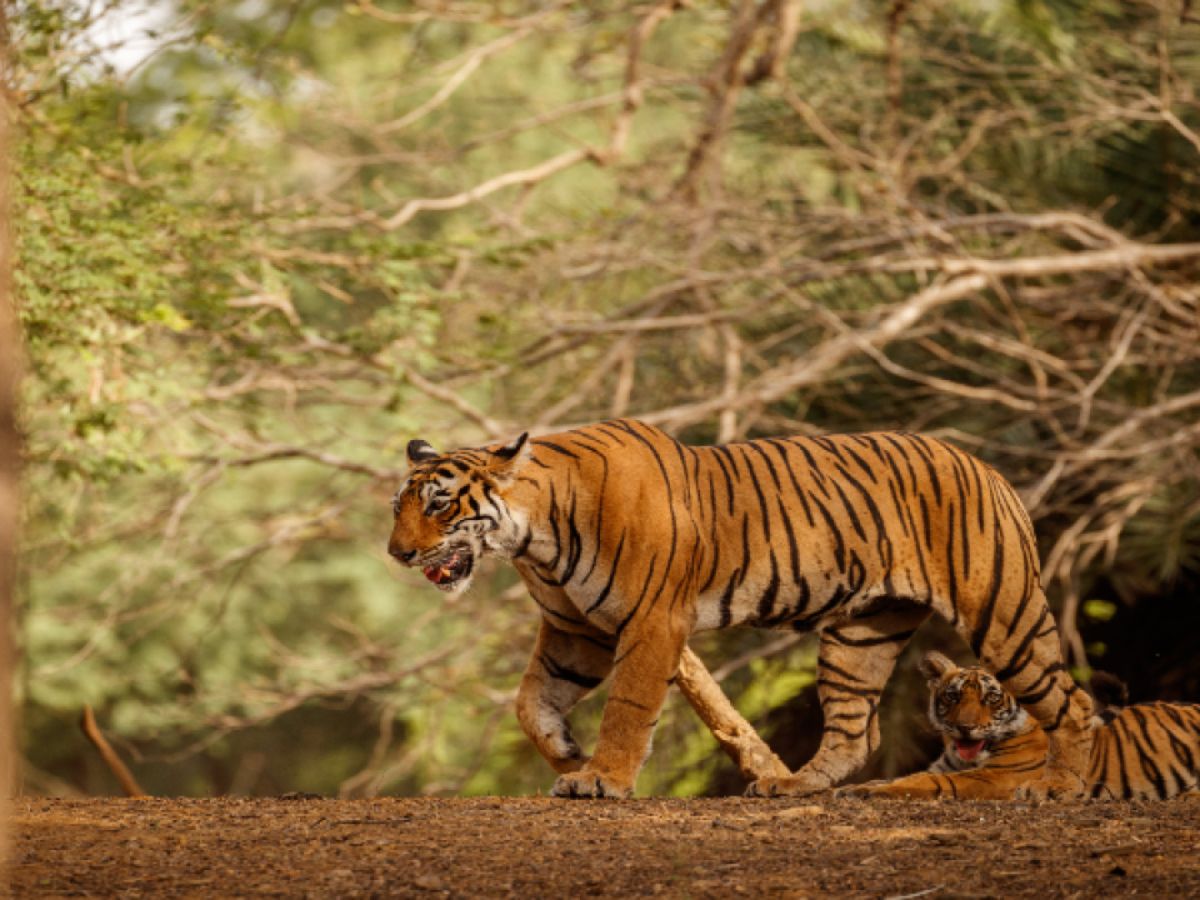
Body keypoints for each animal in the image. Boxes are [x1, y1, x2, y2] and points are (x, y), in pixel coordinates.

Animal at [386, 418, 1095, 799]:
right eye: (399, 506)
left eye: (439, 504)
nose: (396, 553)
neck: (533, 537)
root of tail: (985, 466)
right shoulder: (574, 631)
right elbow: (531, 702)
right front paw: (566, 755)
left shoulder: (650, 622)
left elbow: (629, 707)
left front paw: (603, 777)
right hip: (860, 633)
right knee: (855, 733)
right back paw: (794, 785)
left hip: (1002, 612)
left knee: (1073, 701)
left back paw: (1058, 787)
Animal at [852, 651, 1200, 800]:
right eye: (953, 696)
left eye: (991, 698)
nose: (965, 727)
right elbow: (906, 776)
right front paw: (860, 786)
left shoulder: (996, 778)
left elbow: (930, 782)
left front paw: (871, 791)